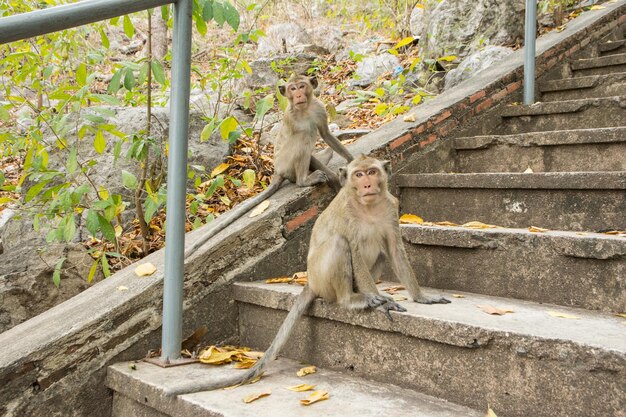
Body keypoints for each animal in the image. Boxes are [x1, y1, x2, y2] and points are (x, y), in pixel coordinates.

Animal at [168, 155, 446, 394]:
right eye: (358, 174)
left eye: (372, 172)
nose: (367, 184)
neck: (368, 206)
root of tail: (310, 281)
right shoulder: (348, 214)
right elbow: (354, 250)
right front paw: (382, 304)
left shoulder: (390, 208)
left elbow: (395, 250)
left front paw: (421, 297)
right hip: (322, 278)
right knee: (339, 244)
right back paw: (353, 299)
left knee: (378, 252)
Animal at [183, 73, 354, 258]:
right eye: (293, 88)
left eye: (302, 86)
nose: (298, 95)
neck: (304, 110)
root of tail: (276, 171)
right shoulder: (291, 119)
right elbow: (303, 139)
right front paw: (333, 177)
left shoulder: (319, 108)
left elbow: (326, 133)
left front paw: (350, 161)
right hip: (286, 163)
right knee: (303, 138)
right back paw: (304, 180)